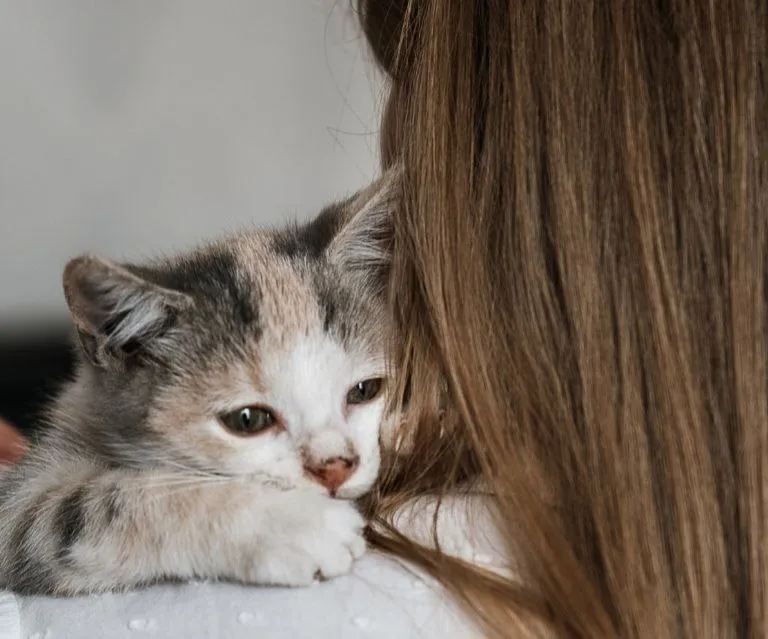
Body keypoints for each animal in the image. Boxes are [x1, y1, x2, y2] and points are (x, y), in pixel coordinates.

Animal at [0, 174, 400, 596]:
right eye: (247, 420)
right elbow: (82, 509)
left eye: (364, 391)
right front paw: (291, 523)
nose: (335, 468)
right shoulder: (20, 502)